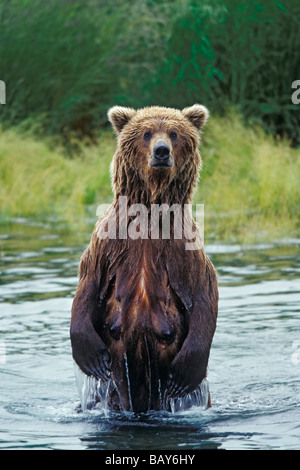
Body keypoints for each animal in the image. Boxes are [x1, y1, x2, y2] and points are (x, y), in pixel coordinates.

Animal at [71, 103, 219, 412]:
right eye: (146, 133)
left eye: (174, 133)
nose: (161, 151)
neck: (150, 209)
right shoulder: (108, 244)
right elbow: (87, 285)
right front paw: (93, 359)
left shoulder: (184, 251)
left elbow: (204, 295)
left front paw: (184, 374)